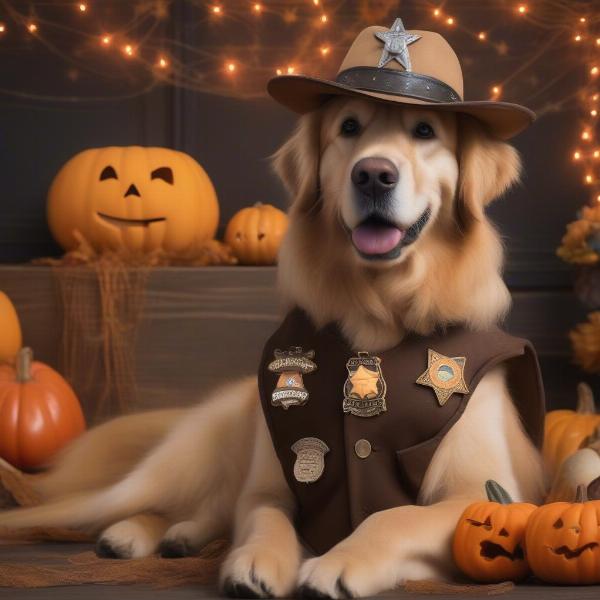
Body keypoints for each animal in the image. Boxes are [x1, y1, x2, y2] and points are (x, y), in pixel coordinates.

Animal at [0, 96, 544, 596]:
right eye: (349, 127)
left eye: (425, 130)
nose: (373, 174)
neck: (378, 315)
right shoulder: (268, 484)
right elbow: (265, 517)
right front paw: (257, 560)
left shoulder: (483, 494)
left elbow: (394, 517)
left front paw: (337, 563)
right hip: (179, 462)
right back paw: (133, 531)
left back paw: (177, 536)